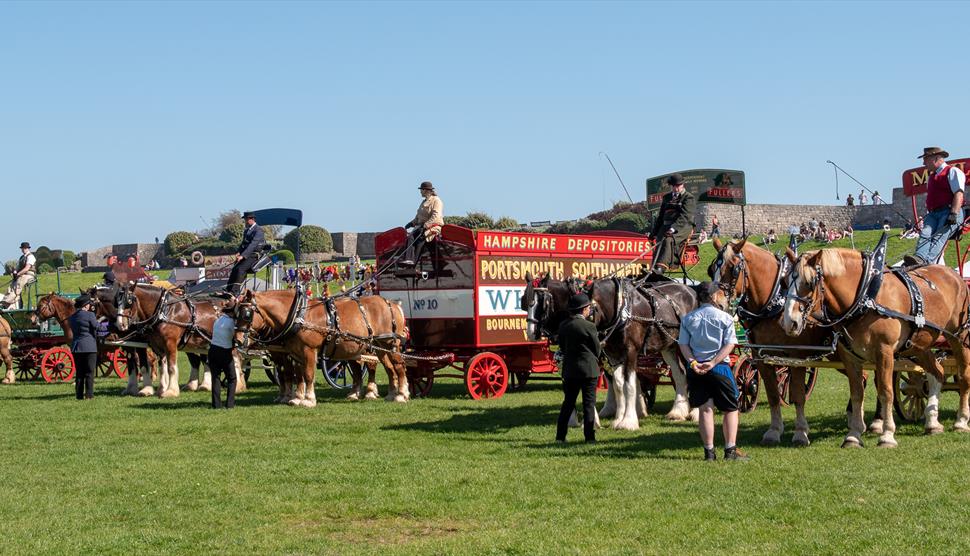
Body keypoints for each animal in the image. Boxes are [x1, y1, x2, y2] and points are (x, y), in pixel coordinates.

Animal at [234, 288, 408, 406]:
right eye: (235, 313)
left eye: (247, 314)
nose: (237, 340)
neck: (298, 315)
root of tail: (392, 304)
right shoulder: (294, 353)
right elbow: (297, 375)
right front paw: (296, 398)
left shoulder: (309, 350)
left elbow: (308, 375)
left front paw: (308, 400)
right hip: (378, 347)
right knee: (388, 369)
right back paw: (390, 394)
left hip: (389, 345)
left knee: (397, 367)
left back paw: (400, 394)